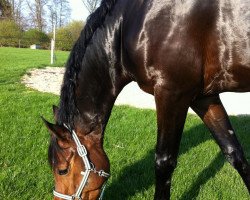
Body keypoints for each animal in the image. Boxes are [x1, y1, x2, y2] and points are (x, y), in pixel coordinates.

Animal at [43, 0, 250, 199]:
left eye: (62, 170)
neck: (131, 21)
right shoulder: (204, 98)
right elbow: (234, 153)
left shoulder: (172, 94)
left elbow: (164, 162)